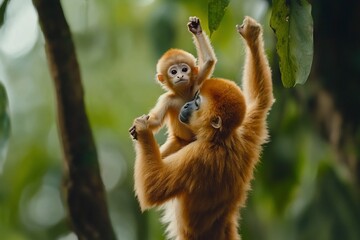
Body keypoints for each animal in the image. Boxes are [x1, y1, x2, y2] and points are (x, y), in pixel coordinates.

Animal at [146, 16, 217, 158]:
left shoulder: (196, 83)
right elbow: (156, 120)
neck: (183, 94)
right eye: (173, 72)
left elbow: (208, 61)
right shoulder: (166, 99)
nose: (180, 76)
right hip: (178, 141)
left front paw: (196, 29)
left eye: (184, 69)